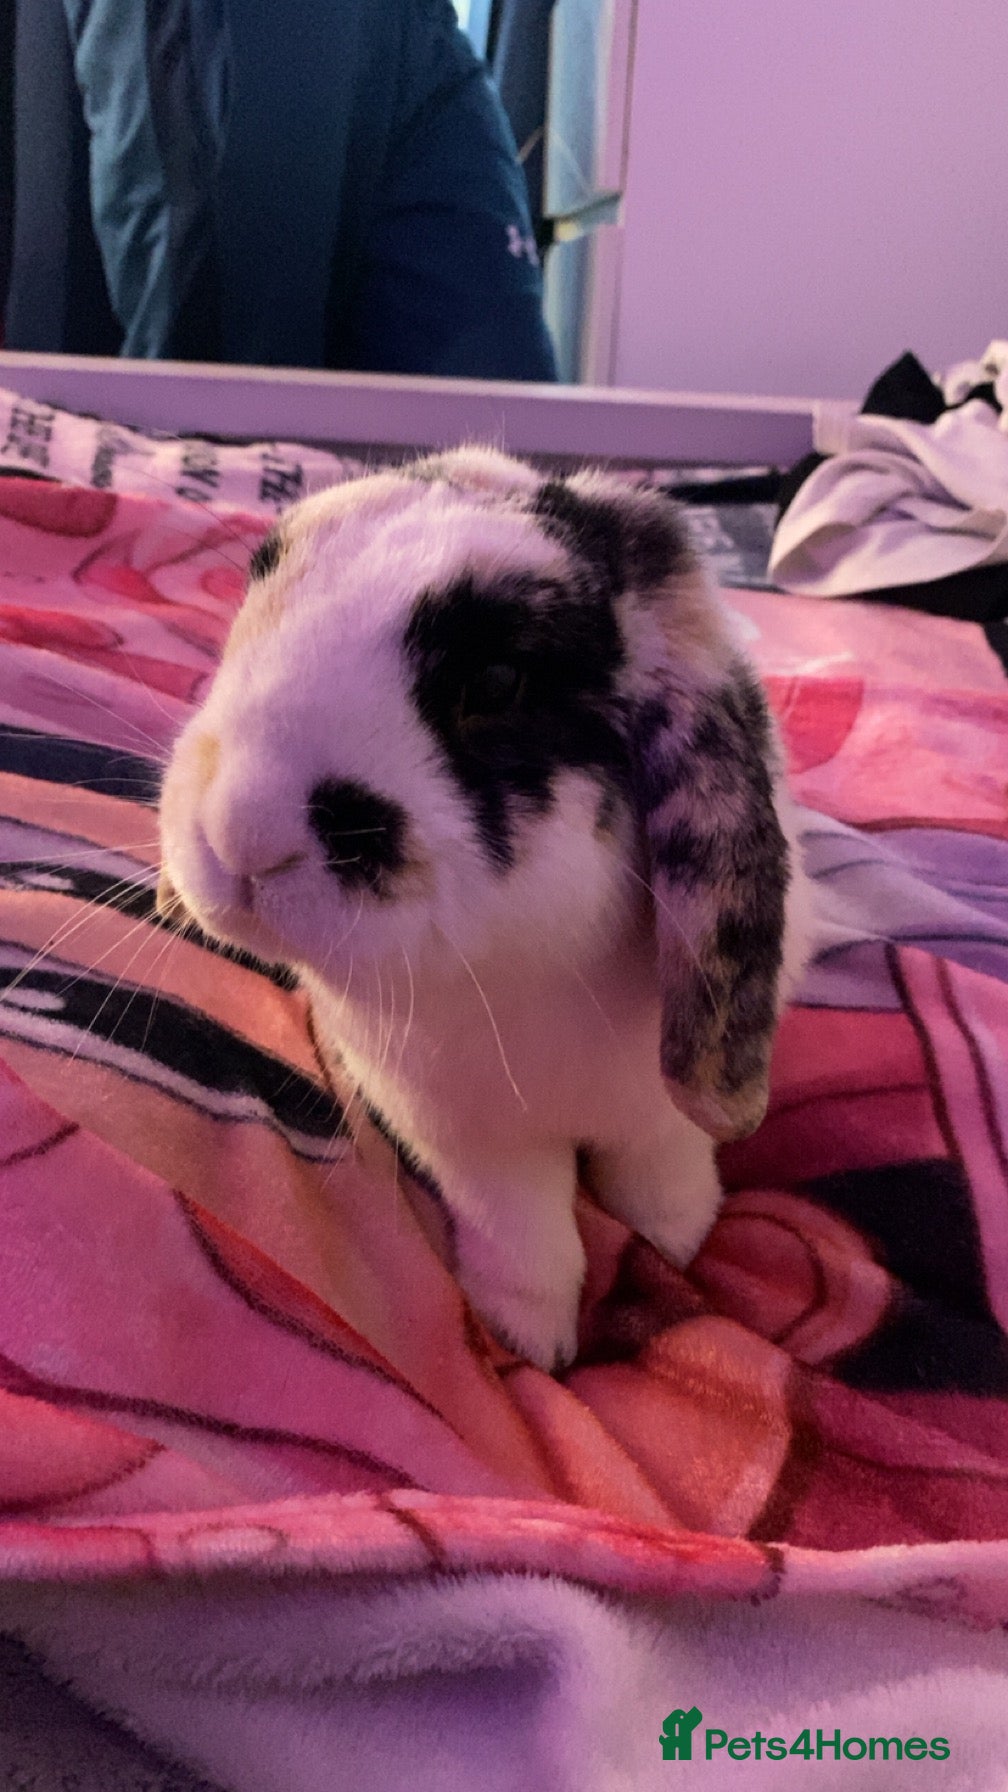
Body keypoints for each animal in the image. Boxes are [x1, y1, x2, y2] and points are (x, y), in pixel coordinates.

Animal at [157, 446, 813, 1373]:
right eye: (257, 596)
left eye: (498, 681)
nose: (239, 835)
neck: (527, 970)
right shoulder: (472, 1140)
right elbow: (531, 1237)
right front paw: (533, 1344)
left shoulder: (658, 1119)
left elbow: (664, 1174)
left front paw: (679, 1246)